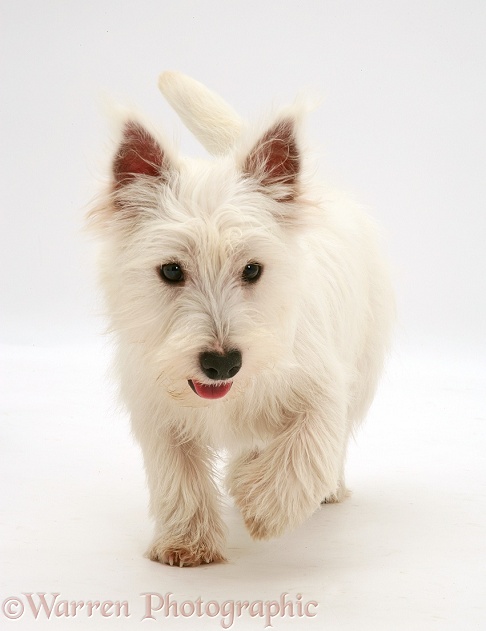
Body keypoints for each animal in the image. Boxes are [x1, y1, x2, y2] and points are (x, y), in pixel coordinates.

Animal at [89, 73, 396, 568]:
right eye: (170, 270)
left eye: (252, 269)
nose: (222, 364)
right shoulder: (156, 410)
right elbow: (177, 473)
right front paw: (187, 541)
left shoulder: (323, 387)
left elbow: (306, 448)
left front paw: (264, 506)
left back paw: (313, 486)